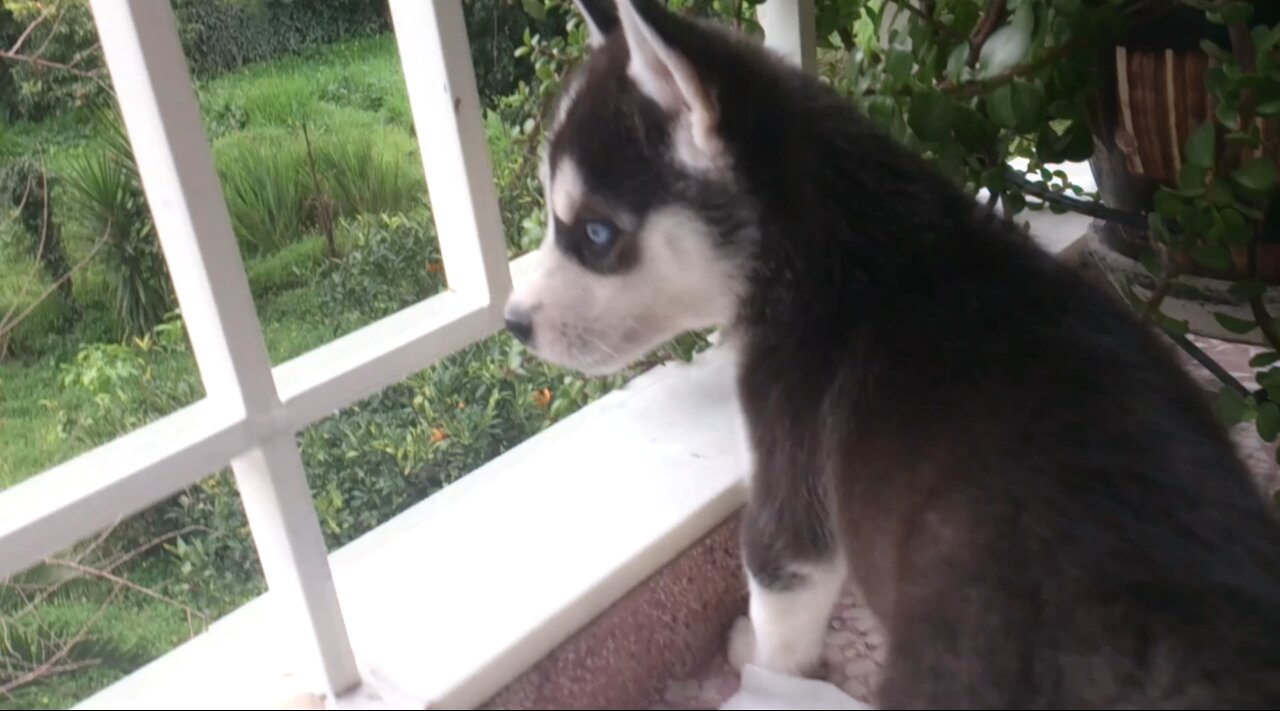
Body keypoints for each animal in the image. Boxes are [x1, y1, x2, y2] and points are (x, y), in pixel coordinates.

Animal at [499, 0, 1280, 707]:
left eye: (596, 235)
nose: (512, 322)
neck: (833, 243)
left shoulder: (791, 479)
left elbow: (780, 603)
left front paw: (766, 668)